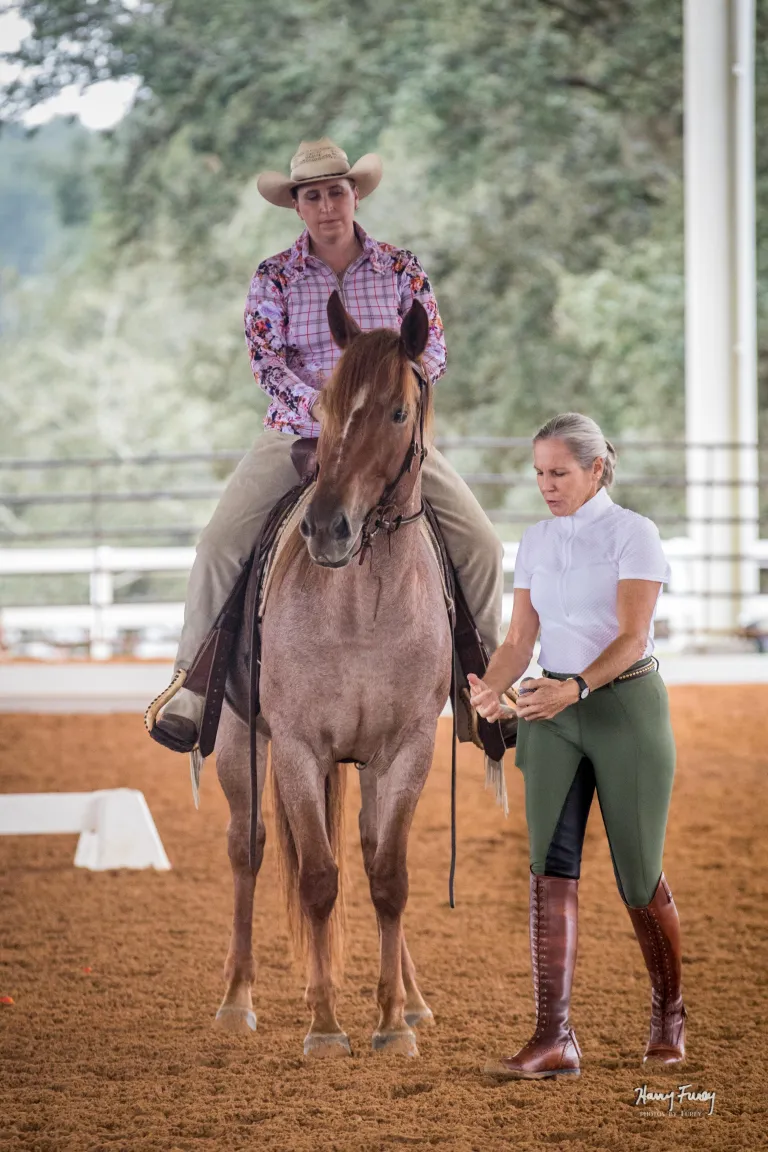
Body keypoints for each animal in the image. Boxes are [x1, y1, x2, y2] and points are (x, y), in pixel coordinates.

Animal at [211, 291, 454, 1057]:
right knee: (248, 850)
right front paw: (323, 1025)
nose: (326, 529)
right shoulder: (297, 749)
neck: (362, 608)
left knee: (373, 852)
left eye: (399, 412)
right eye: (322, 406)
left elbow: (388, 877)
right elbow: (319, 879)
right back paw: (236, 1001)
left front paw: (392, 1024)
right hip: (239, 747)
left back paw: (413, 1001)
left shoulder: (406, 750)